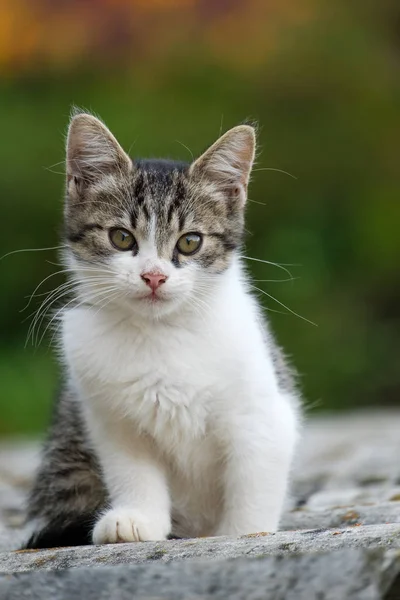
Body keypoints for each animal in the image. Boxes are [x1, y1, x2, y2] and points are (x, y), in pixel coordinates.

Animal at [25, 111, 300, 548]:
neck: (161, 332)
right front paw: (138, 519)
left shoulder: (262, 414)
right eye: (121, 237)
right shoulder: (109, 417)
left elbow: (254, 480)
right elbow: (133, 471)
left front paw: (245, 532)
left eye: (190, 242)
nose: (154, 276)